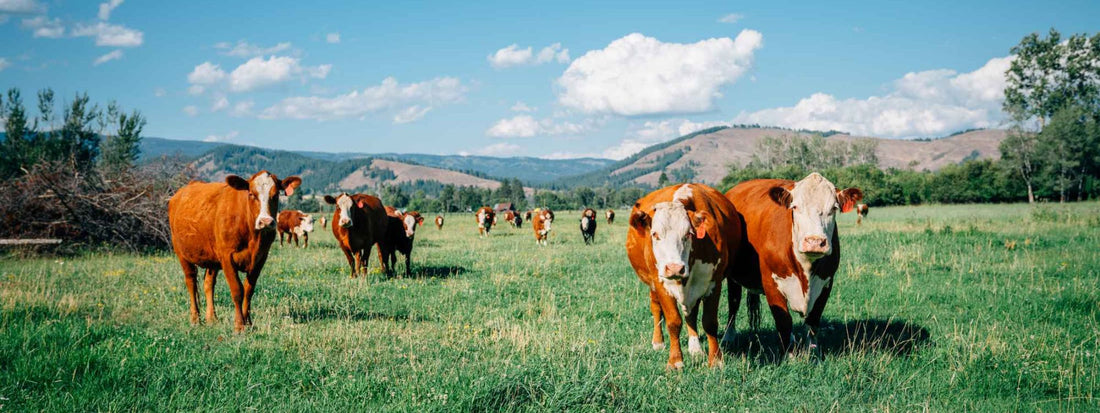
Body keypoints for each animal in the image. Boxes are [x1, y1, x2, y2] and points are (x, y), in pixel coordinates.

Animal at [168, 171, 302, 332]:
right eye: (251, 194)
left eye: (275, 195)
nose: (265, 221)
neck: (253, 236)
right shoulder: (227, 257)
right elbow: (237, 291)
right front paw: (239, 325)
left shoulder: (260, 258)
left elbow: (249, 290)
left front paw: (248, 322)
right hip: (181, 253)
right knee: (191, 282)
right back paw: (195, 319)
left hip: (212, 260)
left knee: (208, 284)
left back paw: (212, 318)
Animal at [625, 183, 740, 368]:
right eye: (655, 234)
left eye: (688, 234)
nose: (674, 268)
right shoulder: (661, 283)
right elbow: (673, 322)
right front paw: (675, 361)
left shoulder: (714, 283)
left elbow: (709, 322)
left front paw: (715, 359)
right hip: (652, 284)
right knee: (656, 308)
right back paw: (658, 342)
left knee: (697, 312)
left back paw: (696, 347)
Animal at [723, 173, 861, 360]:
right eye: (795, 207)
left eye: (833, 208)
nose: (815, 242)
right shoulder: (771, 283)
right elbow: (784, 322)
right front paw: (789, 355)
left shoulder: (826, 283)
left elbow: (813, 321)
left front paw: (813, 352)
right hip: (733, 278)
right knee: (733, 303)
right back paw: (728, 337)